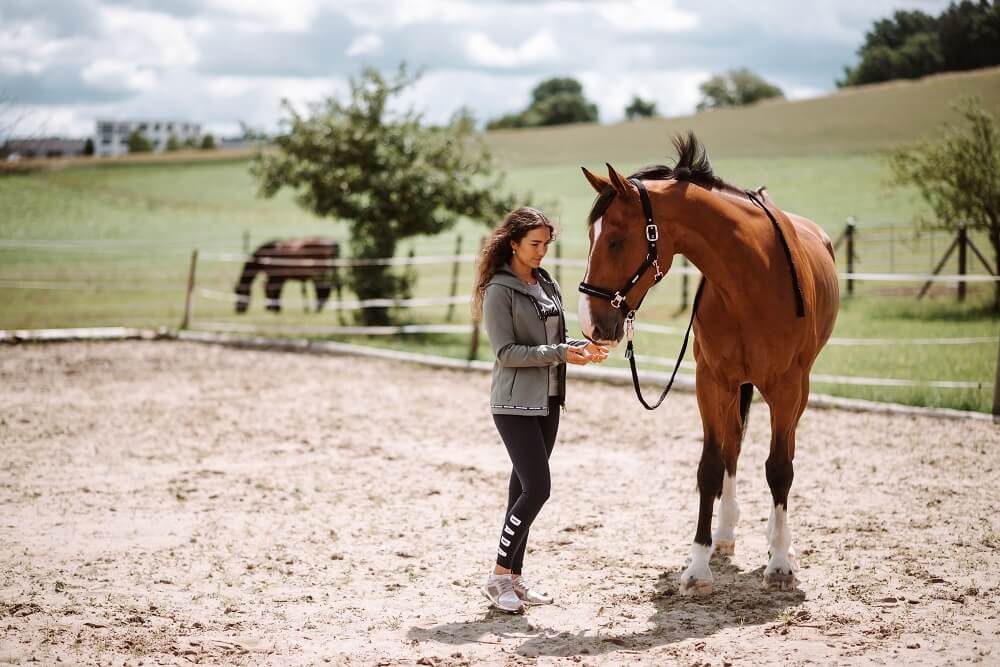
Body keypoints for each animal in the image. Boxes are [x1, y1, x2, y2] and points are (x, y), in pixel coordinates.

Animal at [580, 134, 844, 596]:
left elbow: (779, 469)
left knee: (785, 453)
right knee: (734, 447)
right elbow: (711, 467)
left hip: (798, 390)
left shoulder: (786, 386)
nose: (591, 323)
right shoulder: (712, 381)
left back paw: (782, 544)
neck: (752, 277)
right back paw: (725, 534)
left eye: (614, 239)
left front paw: (779, 564)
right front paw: (698, 566)